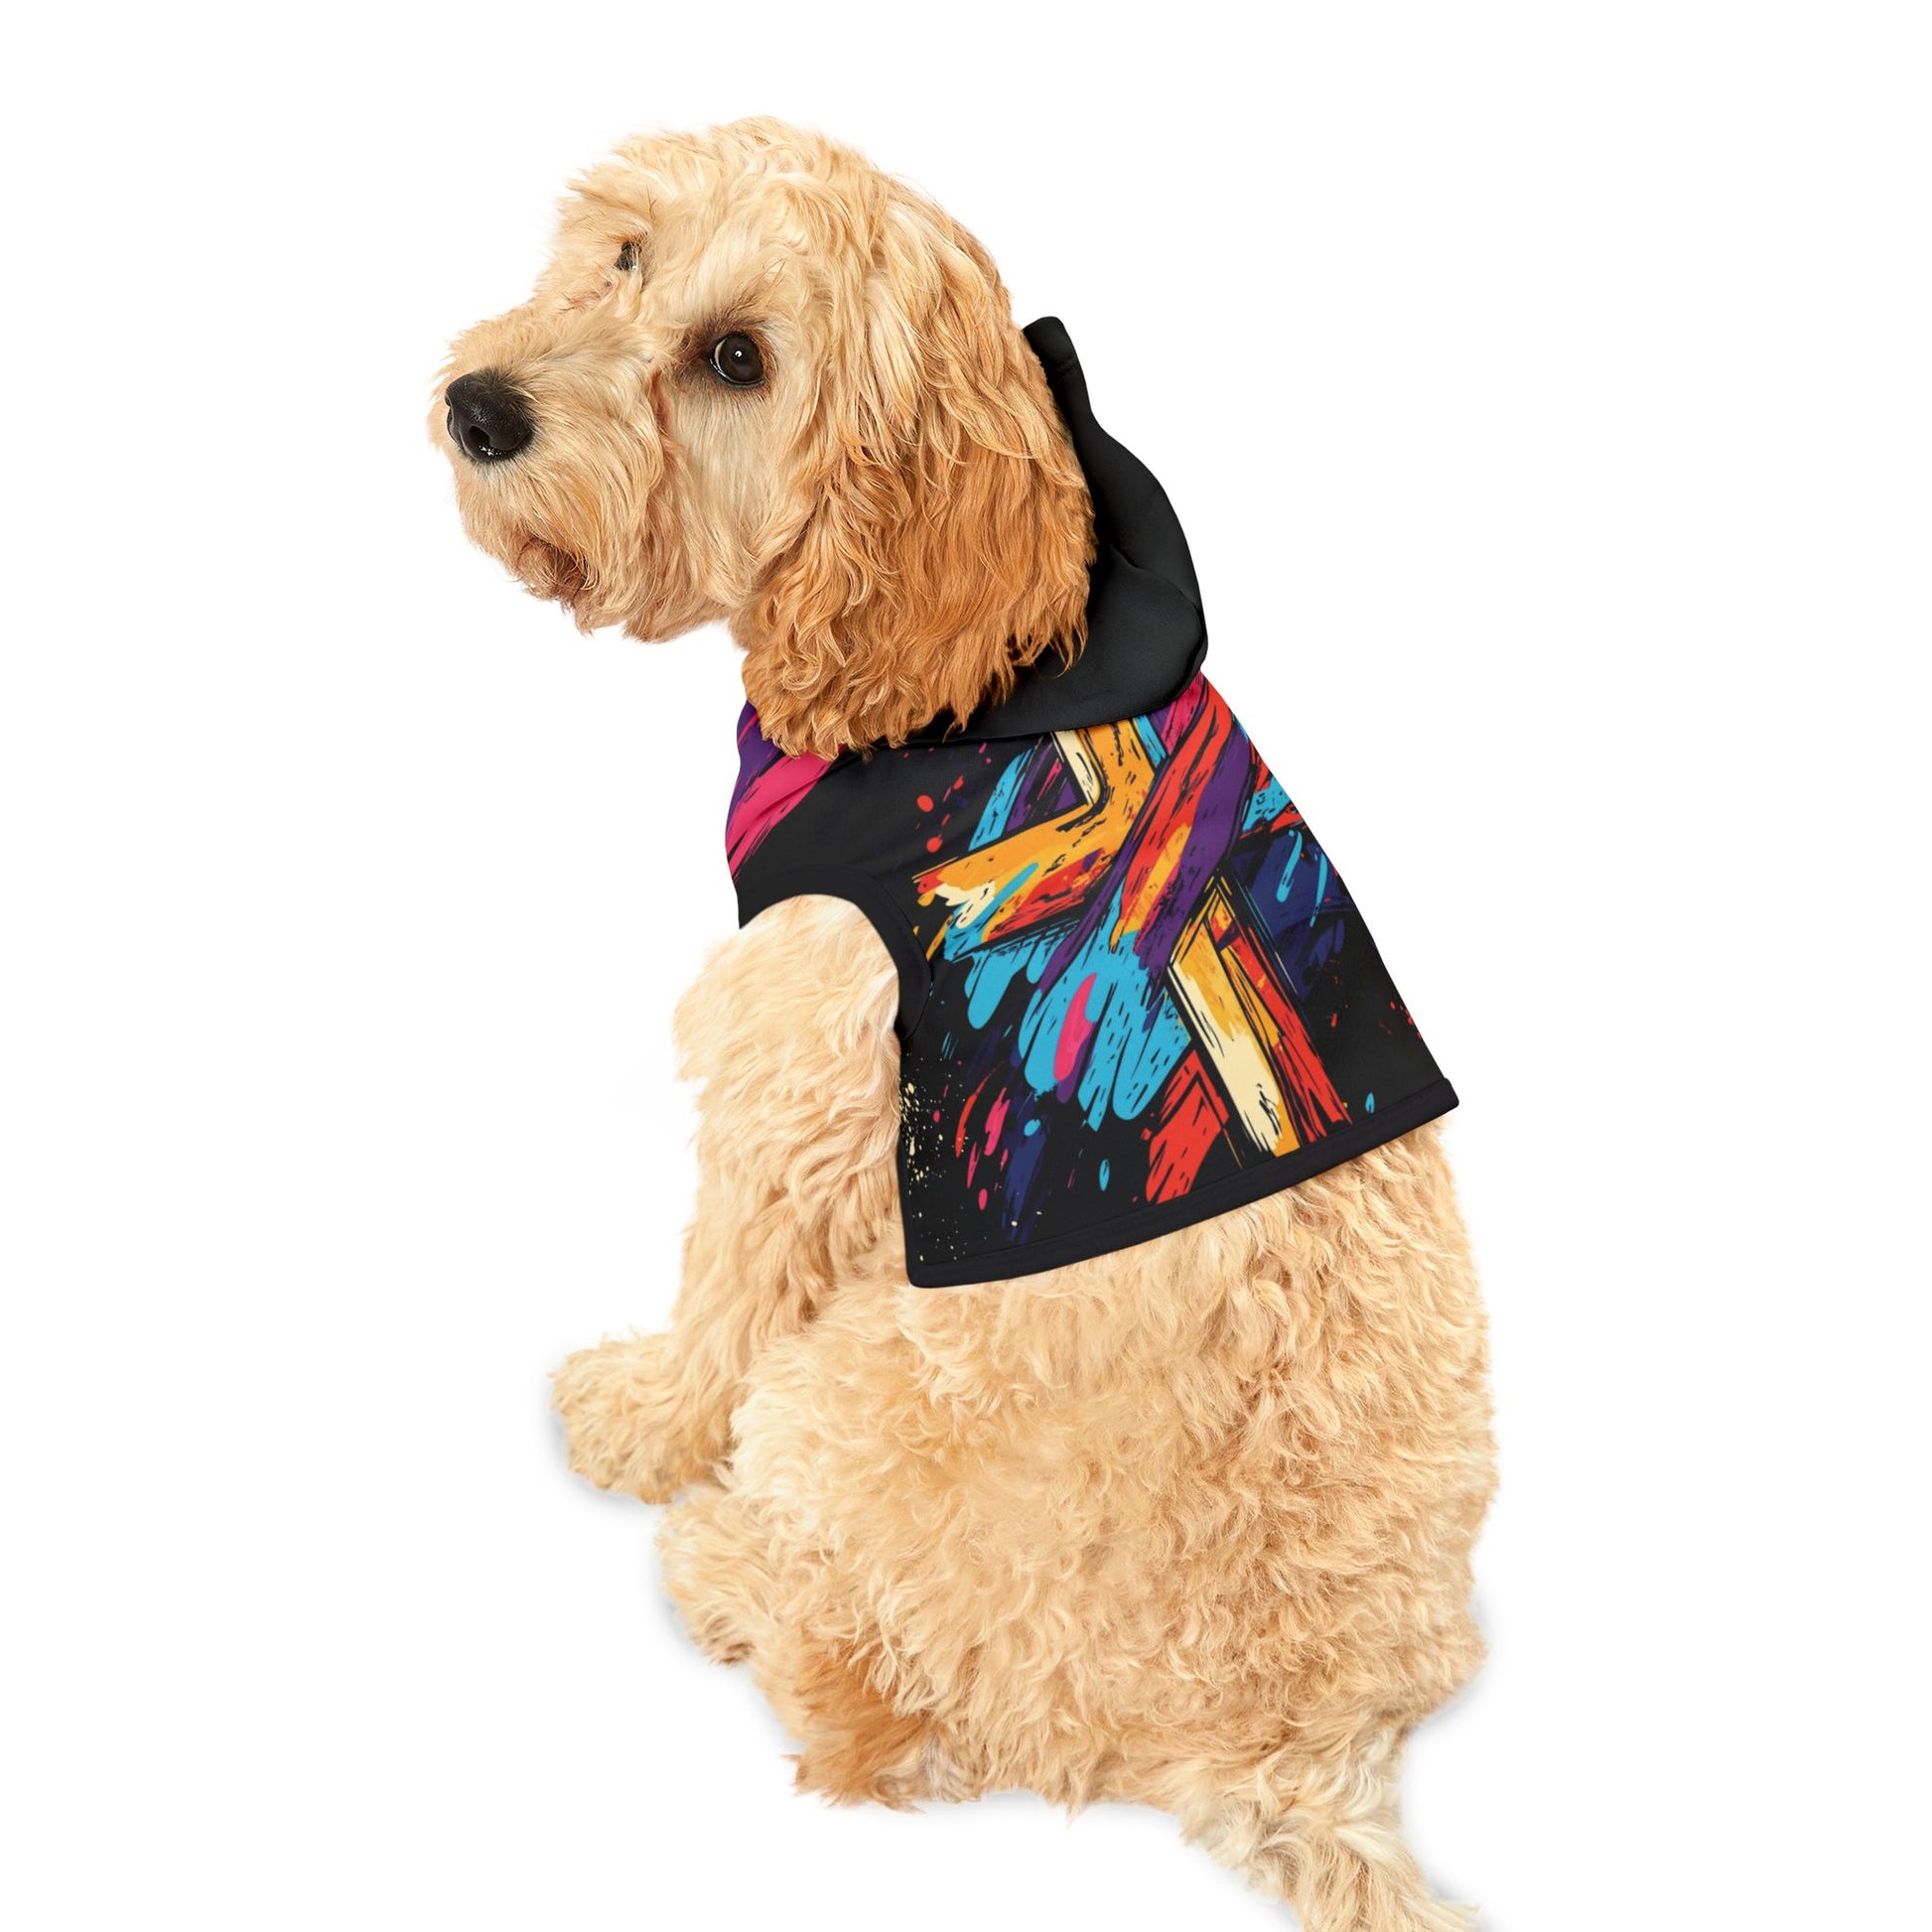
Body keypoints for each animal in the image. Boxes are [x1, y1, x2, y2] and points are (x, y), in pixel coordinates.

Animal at [436, 118, 1494, 1931]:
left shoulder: (802, 1068)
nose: (482, 408)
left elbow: (724, 1290)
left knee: (868, 1715)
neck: (975, 664)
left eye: (738, 360)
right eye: (626, 254)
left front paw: (646, 1420)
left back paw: (725, 1568)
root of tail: (1298, 1747)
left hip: (857, 1397)